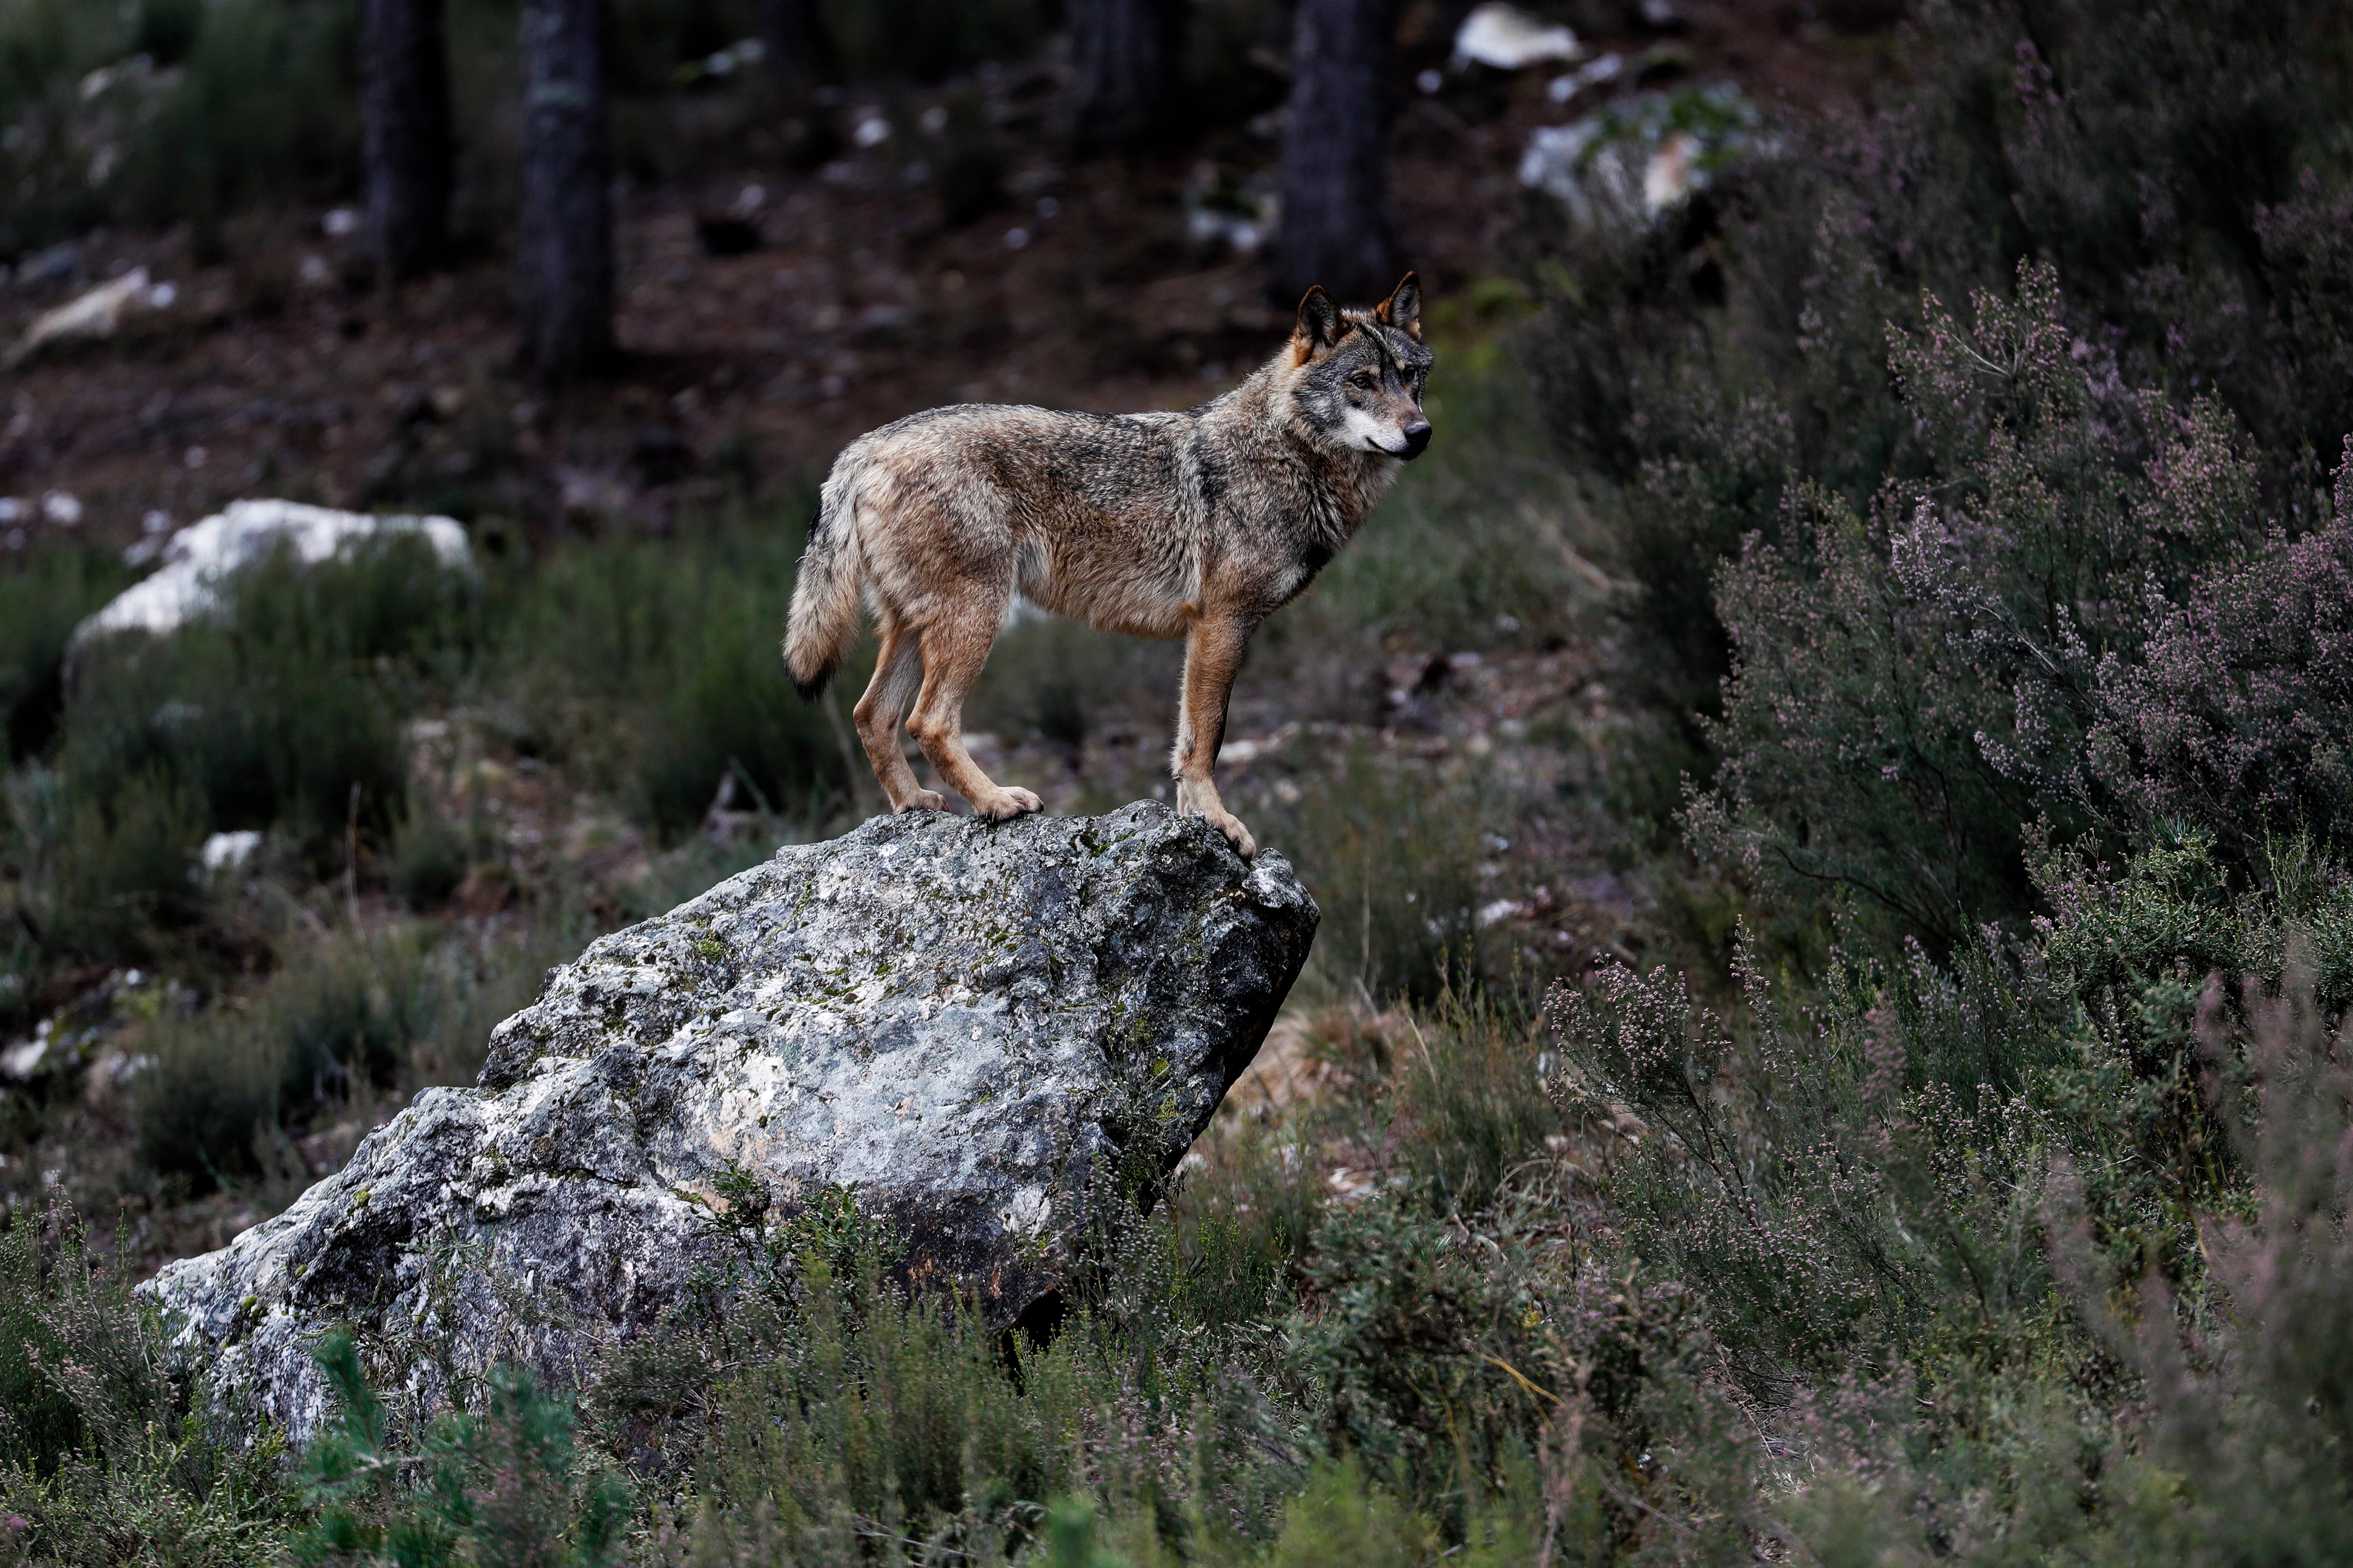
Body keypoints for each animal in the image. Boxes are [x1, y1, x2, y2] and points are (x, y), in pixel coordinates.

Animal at [784, 273, 1432, 859]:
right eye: (1361, 382)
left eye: (1411, 378)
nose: (1421, 433)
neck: (1286, 453)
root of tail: (866, 446)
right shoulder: (1220, 622)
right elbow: (1207, 740)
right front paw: (1220, 824)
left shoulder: (1206, 632)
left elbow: (1187, 740)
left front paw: (1192, 824)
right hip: (975, 618)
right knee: (929, 721)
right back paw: (997, 801)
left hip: (916, 628)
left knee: (872, 714)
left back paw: (913, 805)